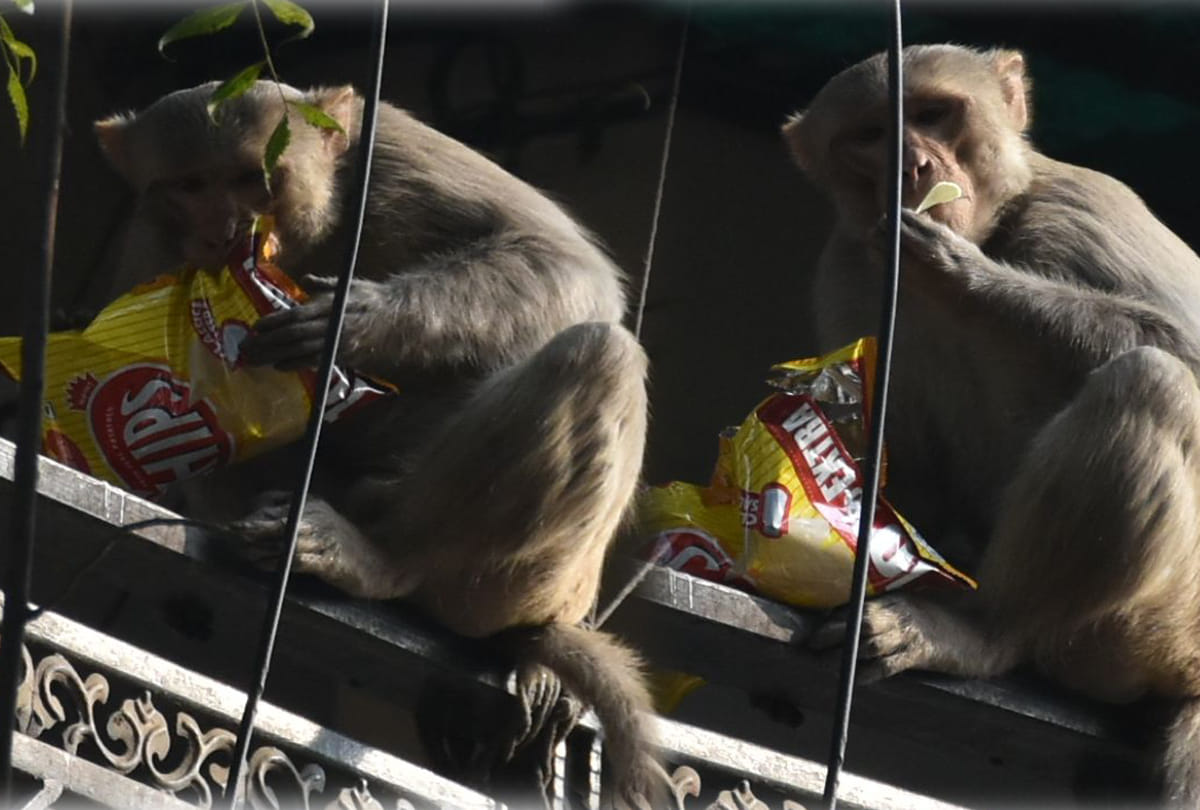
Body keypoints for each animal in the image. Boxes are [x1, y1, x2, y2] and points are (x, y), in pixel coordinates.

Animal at [93, 81, 659, 806]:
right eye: (191, 184)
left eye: (251, 177)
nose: (225, 231)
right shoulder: (151, 243)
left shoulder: (388, 151)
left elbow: (561, 260)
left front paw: (356, 320)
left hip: (518, 579)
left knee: (597, 355)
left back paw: (383, 561)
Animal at [783, 44, 1200, 804]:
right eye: (871, 135)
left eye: (932, 113)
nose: (915, 165)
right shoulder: (848, 267)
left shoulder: (1086, 207)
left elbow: (1188, 349)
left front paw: (958, 273)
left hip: (1170, 622)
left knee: (1152, 383)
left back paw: (986, 632)